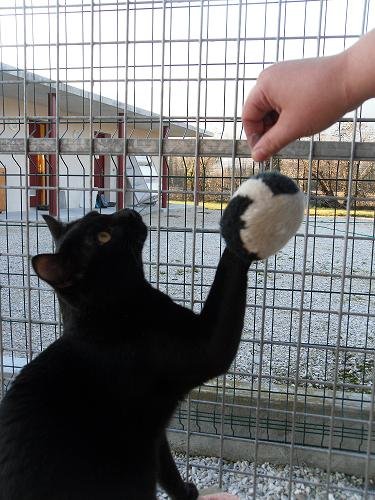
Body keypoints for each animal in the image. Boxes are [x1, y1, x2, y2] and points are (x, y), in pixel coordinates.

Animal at [0, 209, 253, 498]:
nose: (128, 212)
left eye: (97, 213)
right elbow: (228, 271)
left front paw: (186, 492)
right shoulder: (208, 347)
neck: (111, 316)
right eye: (103, 237)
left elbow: (166, 469)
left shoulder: (154, 435)